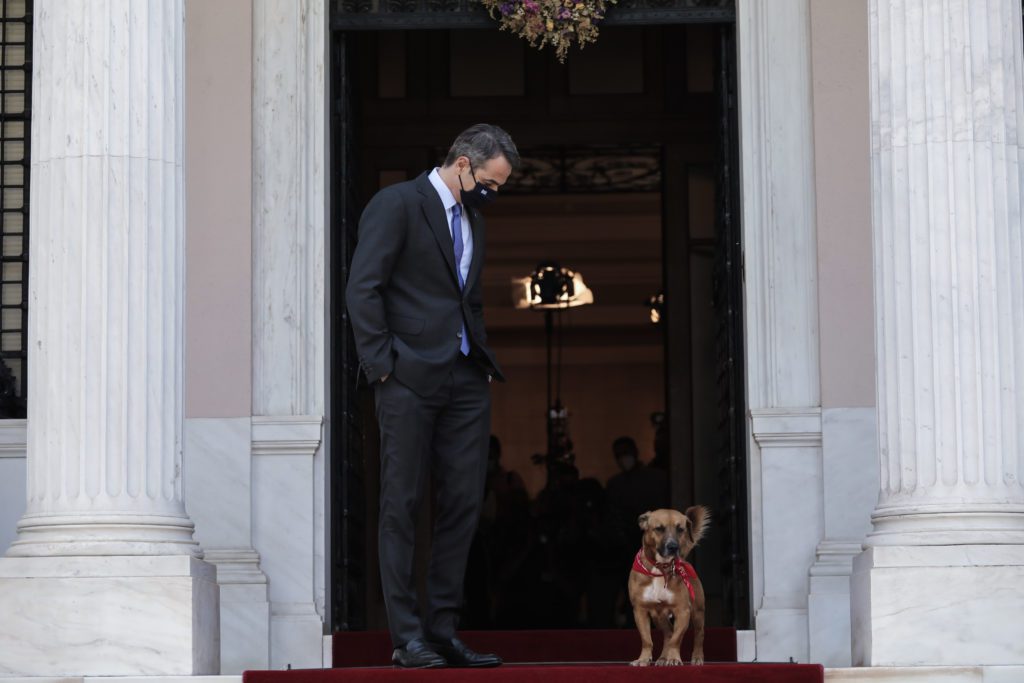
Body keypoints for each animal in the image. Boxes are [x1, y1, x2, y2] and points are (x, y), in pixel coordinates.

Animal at [626, 507, 708, 667]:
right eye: (659, 529)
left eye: (680, 529)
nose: (673, 547)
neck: (661, 569)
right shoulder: (640, 610)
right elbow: (647, 639)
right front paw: (643, 659)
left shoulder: (683, 611)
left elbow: (676, 639)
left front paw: (674, 658)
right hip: (659, 616)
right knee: (668, 633)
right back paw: (663, 658)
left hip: (698, 613)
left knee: (699, 635)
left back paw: (697, 657)